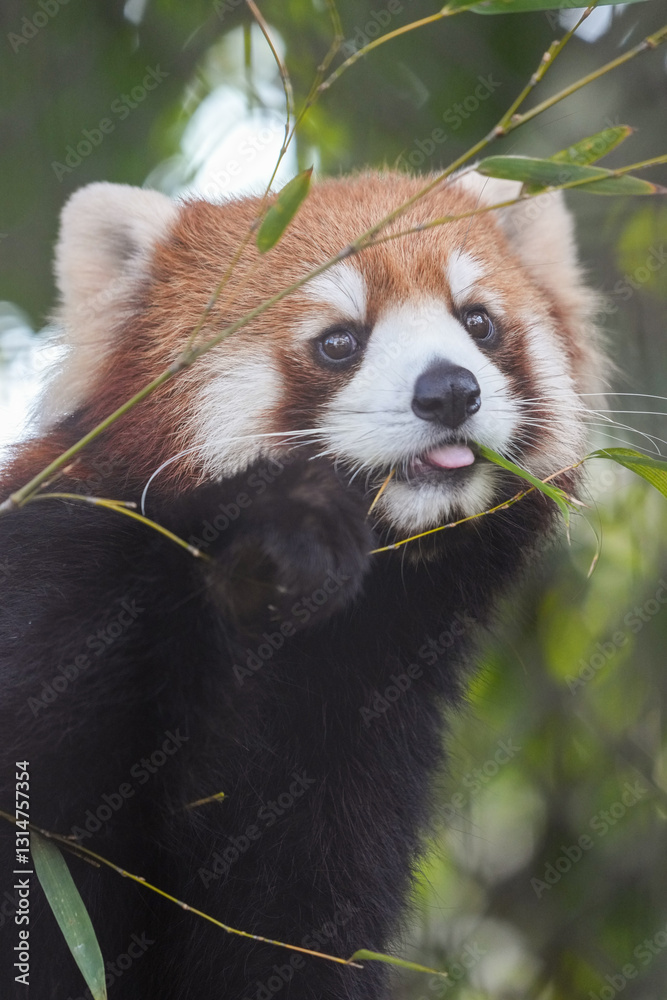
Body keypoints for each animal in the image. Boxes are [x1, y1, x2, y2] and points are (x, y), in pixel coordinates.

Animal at [0, 171, 602, 999]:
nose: (449, 391)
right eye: (339, 341)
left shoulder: (355, 741)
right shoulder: (60, 597)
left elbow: (295, 934)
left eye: (477, 322)